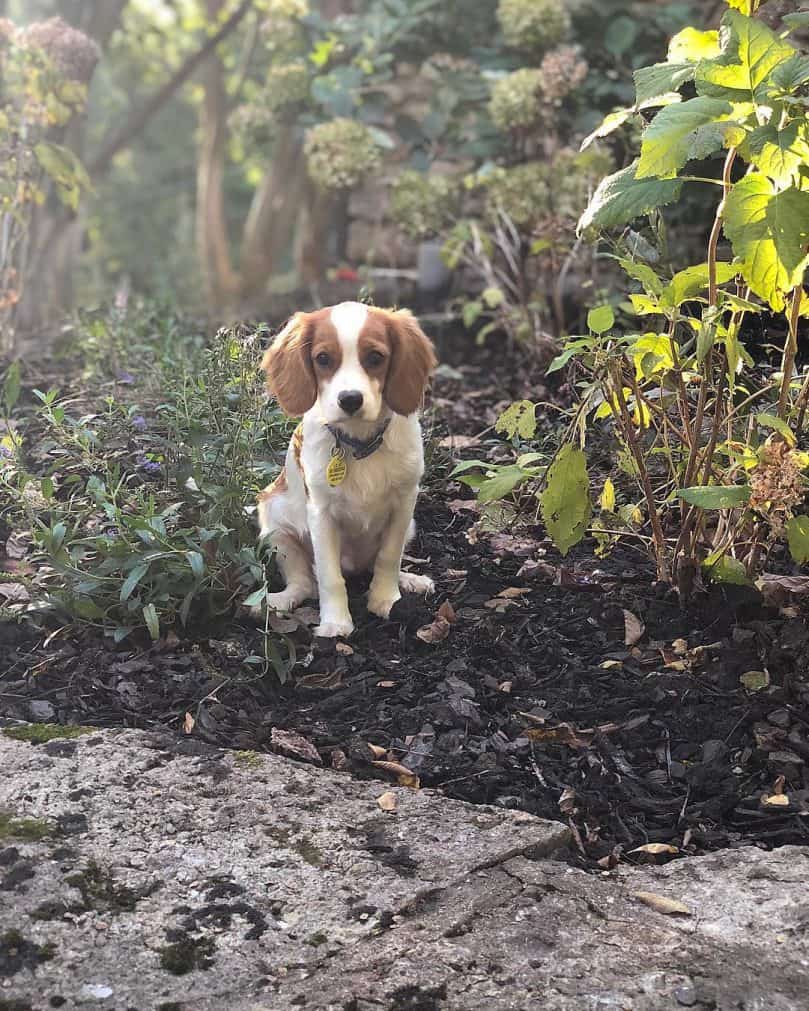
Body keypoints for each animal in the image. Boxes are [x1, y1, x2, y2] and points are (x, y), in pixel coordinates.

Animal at [257, 295, 436, 634]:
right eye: (323, 358)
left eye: (376, 357)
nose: (350, 399)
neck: (359, 442)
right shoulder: (320, 513)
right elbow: (329, 576)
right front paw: (335, 623)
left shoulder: (405, 502)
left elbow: (389, 557)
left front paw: (386, 599)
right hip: (275, 524)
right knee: (304, 581)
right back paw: (281, 600)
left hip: (411, 525)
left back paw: (410, 580)